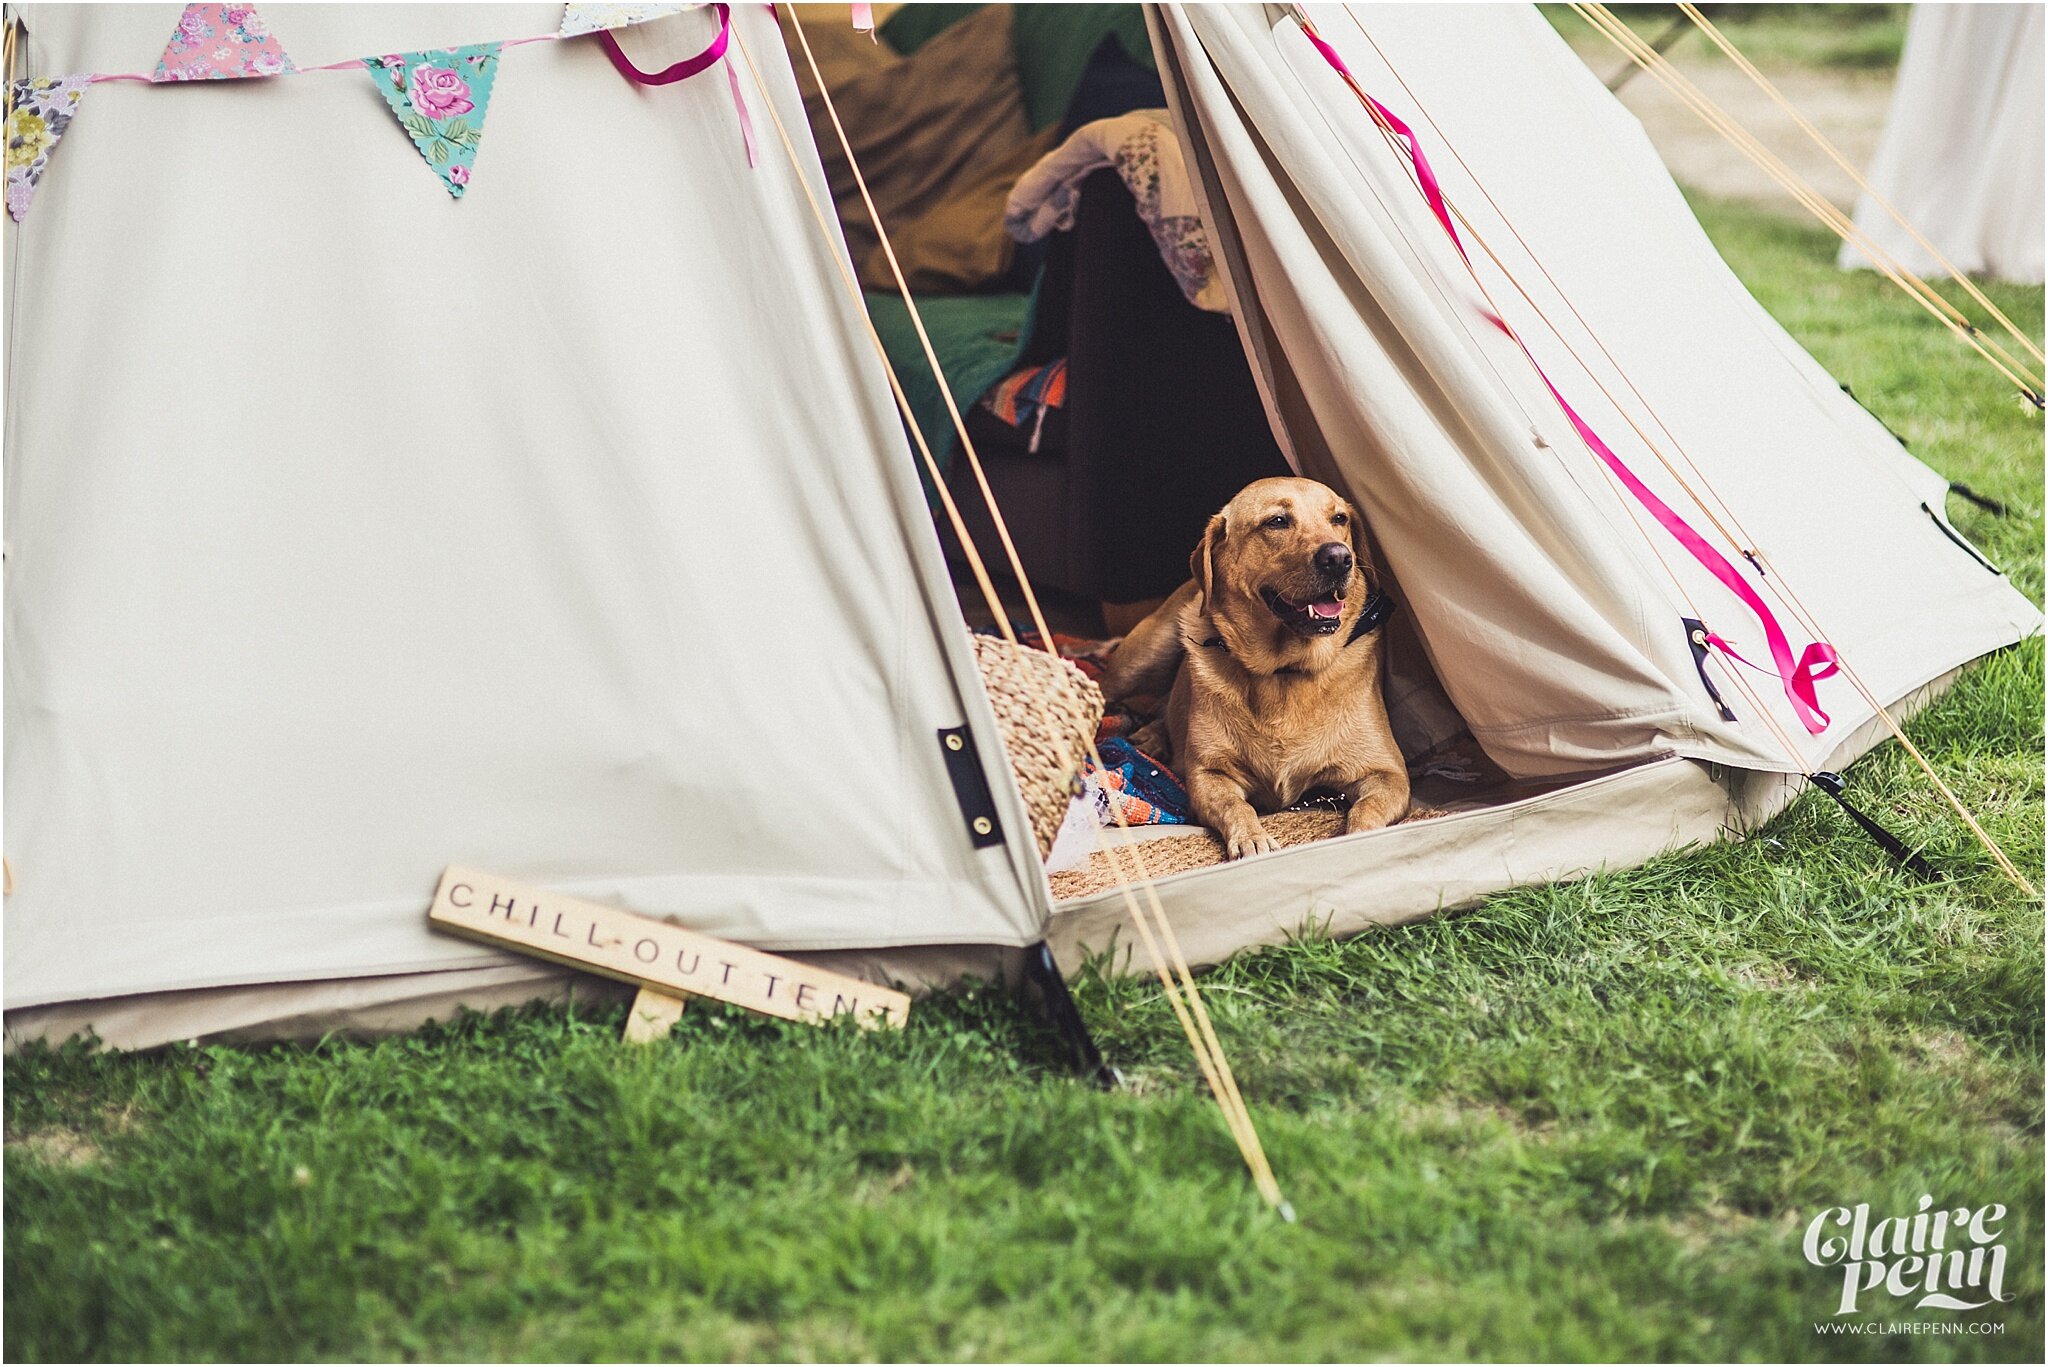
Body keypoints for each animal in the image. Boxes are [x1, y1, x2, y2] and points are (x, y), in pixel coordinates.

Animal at [1105, 479, 1409, 856]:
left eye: (1339, 518)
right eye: (1277, 521)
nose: (1339, 558)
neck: (1284, 671)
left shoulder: (1388, 773)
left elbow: (1366, 810)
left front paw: (1356, 839)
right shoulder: (1208, 774)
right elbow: (1236, 805)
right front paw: (1252, 837)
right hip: (1140, 659)